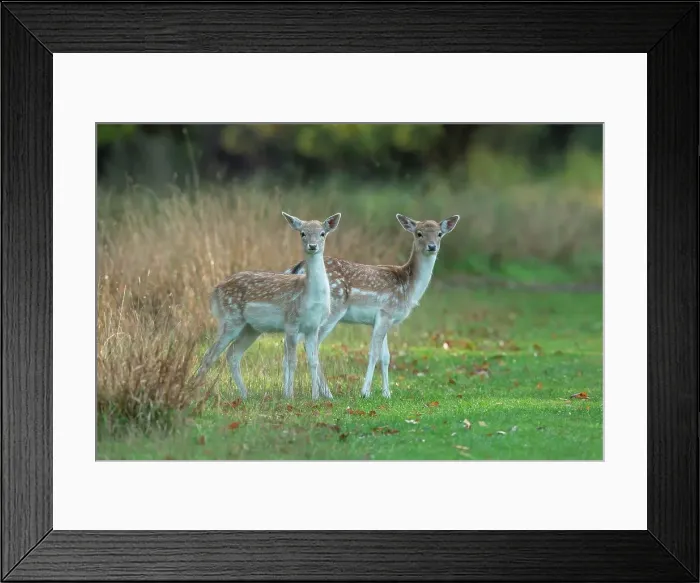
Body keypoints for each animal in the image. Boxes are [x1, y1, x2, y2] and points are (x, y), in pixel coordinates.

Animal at [194, 212, 342, 401]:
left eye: (323, 233)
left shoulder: (313, 327)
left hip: (251, 328)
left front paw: (315, 397)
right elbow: (292, 360)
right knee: (210, 354)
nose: (312, 246)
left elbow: (313, 361)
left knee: (232, 354)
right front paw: (290, 396)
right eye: (302, 233)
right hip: (230, 318)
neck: (310, 298)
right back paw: (195, 392)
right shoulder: (291, 322)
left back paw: (245, 395)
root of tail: (214, 292)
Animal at [285, 213, 460, 398]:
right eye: (419, 233)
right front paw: (365, 392)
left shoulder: (383, 319)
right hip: (331, 310)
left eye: (440, 234)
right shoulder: (386, 311)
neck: (408, 287)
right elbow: (373, 353)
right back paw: (327, 393)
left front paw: (387, 394)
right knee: (310, 344)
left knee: (289, 342)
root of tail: (297, 268)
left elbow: (386, 356)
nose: (432, 246)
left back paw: (288, 391)